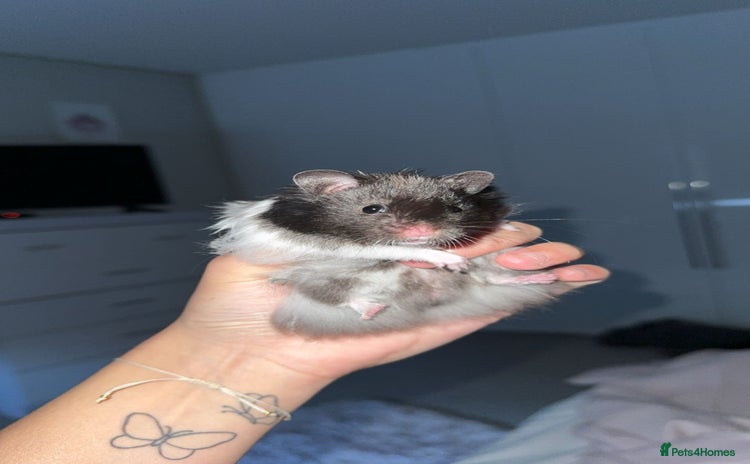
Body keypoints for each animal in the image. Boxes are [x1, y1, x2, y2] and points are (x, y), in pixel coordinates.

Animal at [210, 169, 567, 336]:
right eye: (372, 208)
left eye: (454, 208)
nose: (423, 232)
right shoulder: (313, 244)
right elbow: (379, 247)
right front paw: (450, 259)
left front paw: (506, 228)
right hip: (315, 278)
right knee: (335, 295)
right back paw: (371, 309)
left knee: (493, 277)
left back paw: (537, 278)